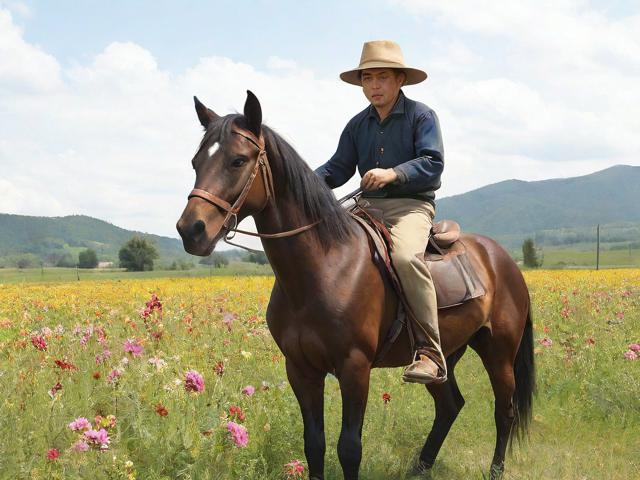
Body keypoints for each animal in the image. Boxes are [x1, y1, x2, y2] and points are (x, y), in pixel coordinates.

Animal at [176, 91, 535, 480]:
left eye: (238, 160)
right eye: (196, 162)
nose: (191, 230)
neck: (323, 269)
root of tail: (502, 259)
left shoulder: (354, 368)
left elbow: (349, 448)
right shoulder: (300, 369)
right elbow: (314, 444)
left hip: (498, 350)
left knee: (504, 411)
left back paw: (494, 470)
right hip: (446, 355)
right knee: (450, 405)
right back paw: (420, 467)